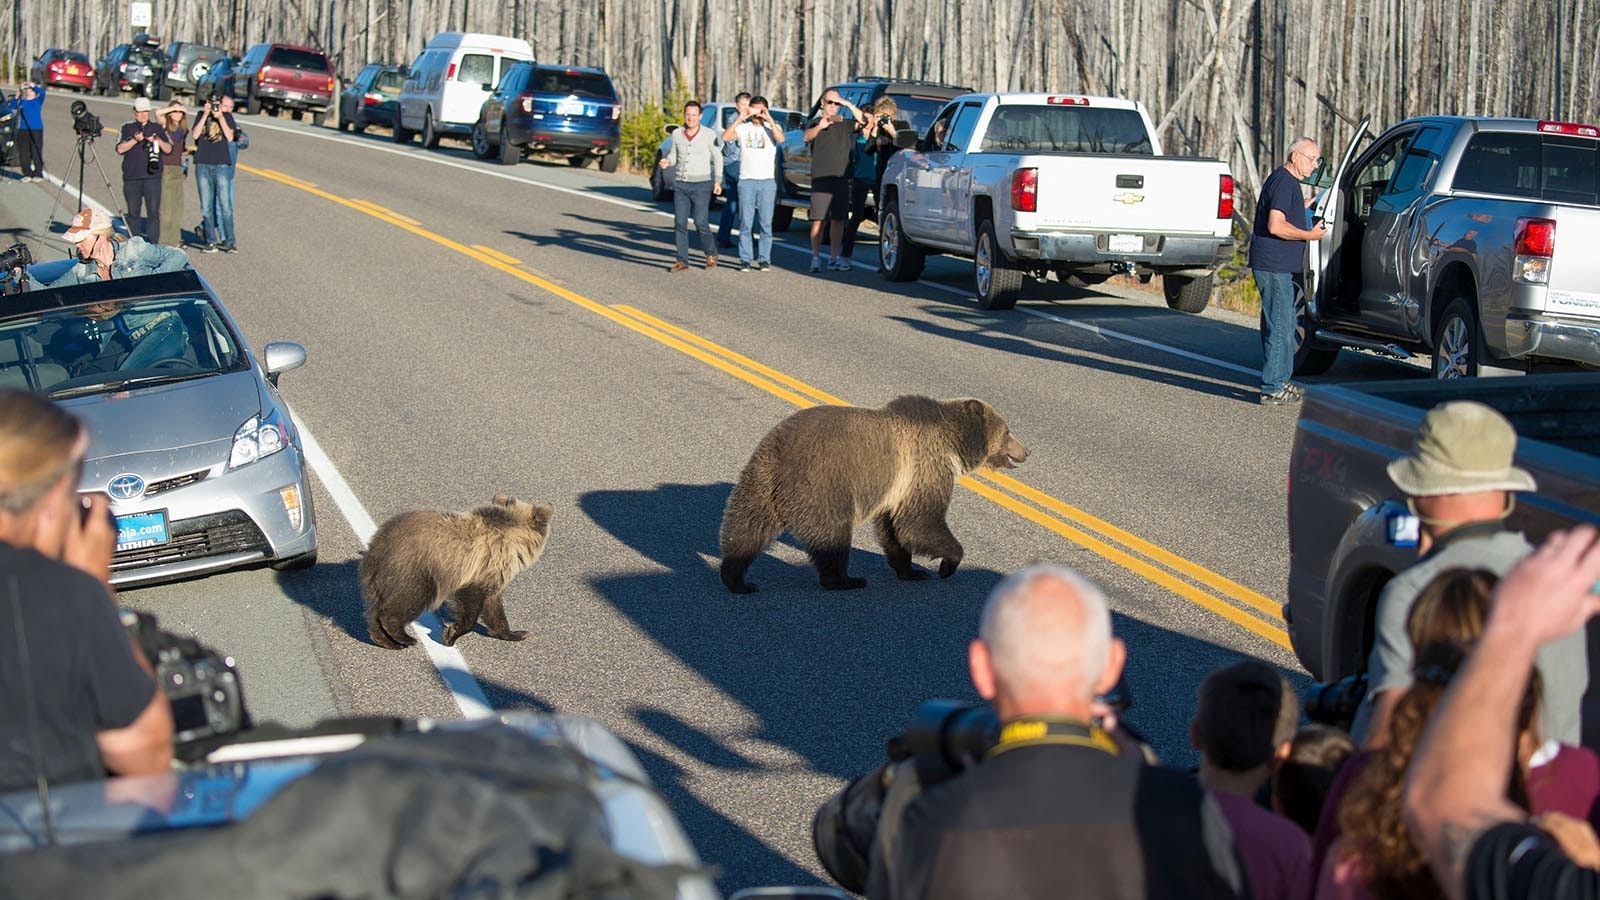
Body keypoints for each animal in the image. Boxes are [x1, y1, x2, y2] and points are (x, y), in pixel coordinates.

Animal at [361, 495, 554, 650]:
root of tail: (378, 542)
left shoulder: (492, 577)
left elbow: (494, 609)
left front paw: (516, 633)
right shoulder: (476, 567)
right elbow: (471, 603)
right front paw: (450, 634)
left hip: (377, 578)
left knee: (375, 610)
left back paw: (387, 641)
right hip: (415, 569)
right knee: (408, 600)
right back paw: (405, 637)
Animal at [718, 396, 1028, 593]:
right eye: (1008, 431)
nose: (1026, 451)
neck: (954, 443)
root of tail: (778, 460)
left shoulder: (898, 487)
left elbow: (895, 528)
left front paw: (911, 570)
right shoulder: (925, 466)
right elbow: (921, 520)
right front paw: (946, 565)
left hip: (758, 483)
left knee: (744, 530)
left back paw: (737, 579)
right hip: (822, 484)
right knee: (832, 536)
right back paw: (845, 579)